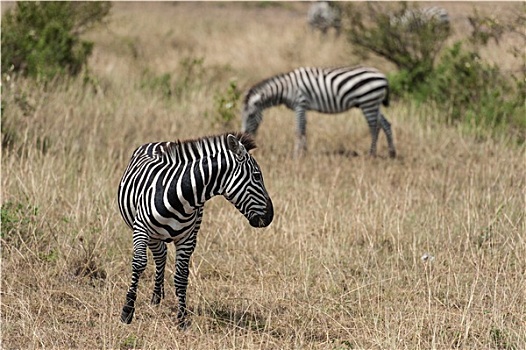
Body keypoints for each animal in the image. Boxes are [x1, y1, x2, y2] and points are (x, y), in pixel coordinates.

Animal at [118, 132, 276, 328]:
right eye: (257, 175)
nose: (270, 216)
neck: (180, 197)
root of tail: (161, 142)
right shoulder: (141, 229)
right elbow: (139, 264)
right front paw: (127, 311)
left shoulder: (186, 240)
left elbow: (181, 276)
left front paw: (181, 318)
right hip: (152, 234)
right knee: (159, 255)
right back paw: (154, 297)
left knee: (161, 255)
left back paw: (157, 297)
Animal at [241, 66, 398, 159]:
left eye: (250, 116)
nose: (244, 136)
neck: (285, 88)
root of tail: (384, 77)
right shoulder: (303, 107)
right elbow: (304, 128)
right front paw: (304, 152)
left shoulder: (300, 104)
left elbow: (299, 130)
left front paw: (296, 155)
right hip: (373, 104)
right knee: (386, 124)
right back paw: (391, 153)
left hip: (368, 102)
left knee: (374, 127)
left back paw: (371, 154)